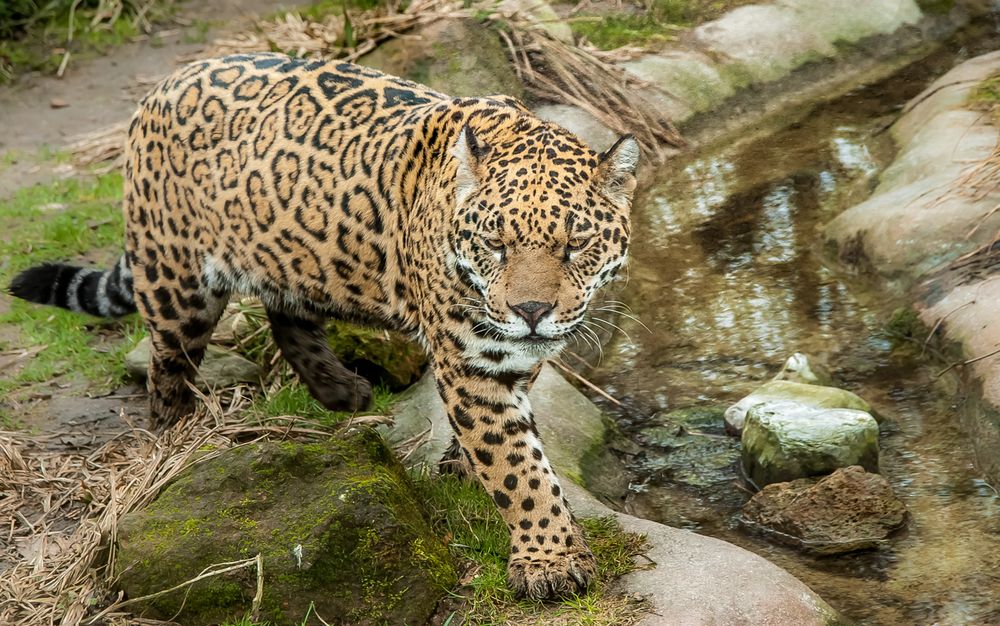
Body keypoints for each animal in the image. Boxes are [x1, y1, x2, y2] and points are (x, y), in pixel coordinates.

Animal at [7, 51, 640, 596]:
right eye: (495, 244)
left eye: (576, 244)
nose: (530, 312)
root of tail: (161, 87)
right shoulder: (470, 361)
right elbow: (518, 469)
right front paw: (549, 562)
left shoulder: (515, 354)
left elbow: (507, 437)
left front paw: (462, 468)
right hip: (176, 280)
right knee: (168, 367)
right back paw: (174, 443)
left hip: (293, 254)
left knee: (286, 318)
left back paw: (340, 391)